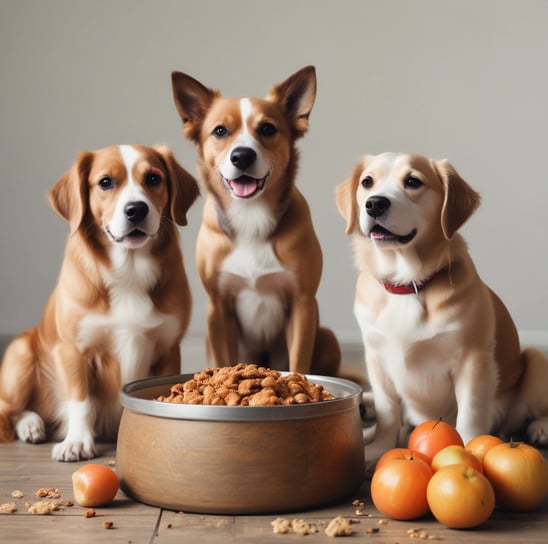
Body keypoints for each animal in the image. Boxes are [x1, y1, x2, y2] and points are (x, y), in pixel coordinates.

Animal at [0, 143, 200, 460]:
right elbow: (81, 401)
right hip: (20, 354)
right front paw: (77, 442)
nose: (136, 209)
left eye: (153, 178)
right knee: (10, 410)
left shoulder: (169, 348)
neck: (129, 270)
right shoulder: (74, 350)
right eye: (105, 182)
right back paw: (31, 425)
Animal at [173, 66, 340, 376]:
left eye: (267, 129)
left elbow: (299, 362)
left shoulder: (303, 303)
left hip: (327, 336)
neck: (250, 217)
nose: (242, 156)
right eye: (220, 131)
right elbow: (224, 361)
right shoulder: (218, 308)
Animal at [336, 152, 548, 472]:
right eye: (367, 182)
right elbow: (387, 411)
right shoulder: (376, 357)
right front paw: (378, 447)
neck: (407, 283)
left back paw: (540, 428)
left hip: (536, 362)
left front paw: (470, 448)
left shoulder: (473, 359)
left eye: (413, 181)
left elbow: (470, 413)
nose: (374, 203)